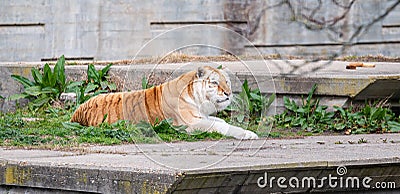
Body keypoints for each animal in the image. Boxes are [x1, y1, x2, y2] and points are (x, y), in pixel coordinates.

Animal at [71, 65, 260, 139]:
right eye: (214, 82)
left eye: (227, 82)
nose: (228, 93)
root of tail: (76, 113)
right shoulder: (189, 124)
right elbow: (221, 126)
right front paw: (249, 134)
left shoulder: (202, 116)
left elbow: (220, 121)